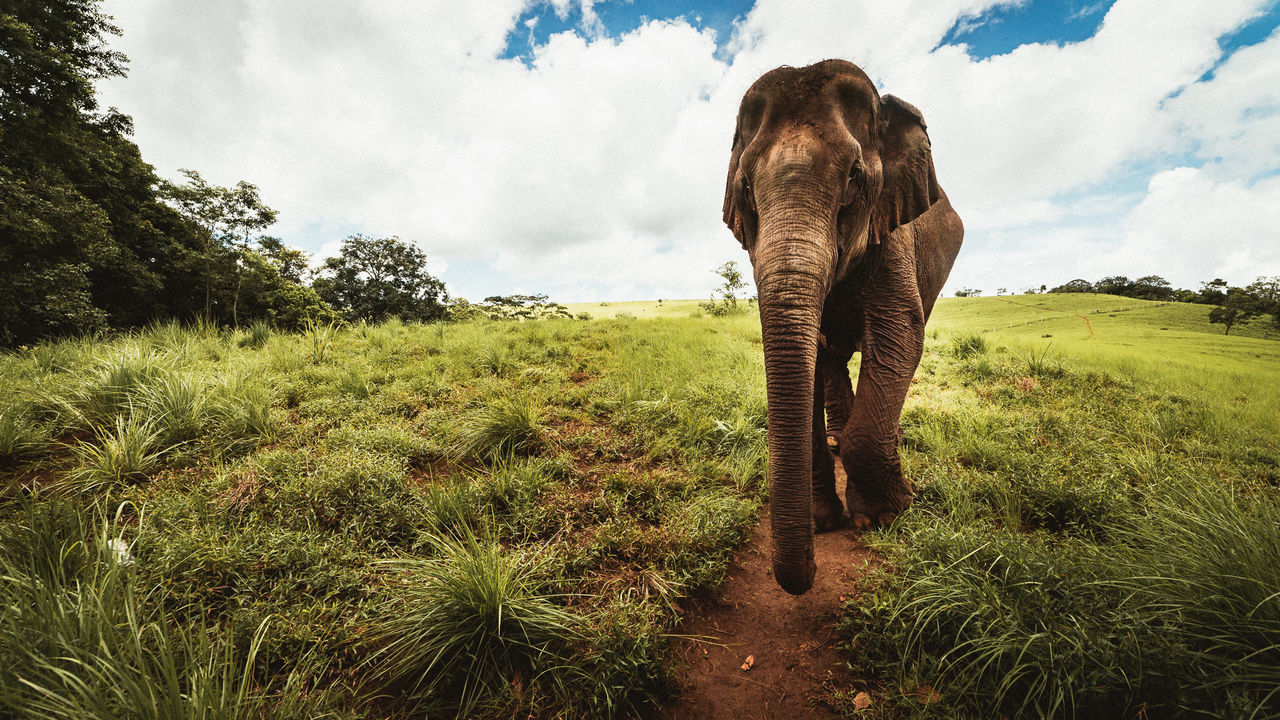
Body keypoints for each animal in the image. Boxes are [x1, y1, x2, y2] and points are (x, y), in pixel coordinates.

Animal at [727, 58, 962, 591]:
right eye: (745, 187)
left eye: (855, 178)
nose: (810, 572)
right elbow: (812, 349)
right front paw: (823, 522)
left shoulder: (892, 231)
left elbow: (900, 335)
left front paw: (886, 515)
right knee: (832, 356)